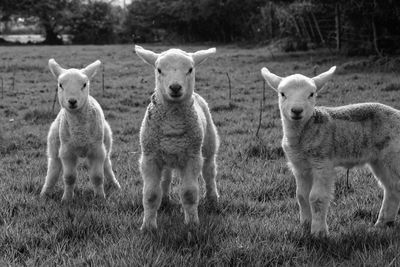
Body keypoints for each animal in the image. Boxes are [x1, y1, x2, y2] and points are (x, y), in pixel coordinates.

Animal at [40, 58, 122, 201]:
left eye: (84, 85)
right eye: (60, 85)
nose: (72, 101)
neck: (80, 132)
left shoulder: (96, 150)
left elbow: (97, 177)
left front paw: (100, 198)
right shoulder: (67, 151)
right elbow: (69, 177)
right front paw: (66, 199)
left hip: (106, 143)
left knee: (107, 165)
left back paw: (115, 184)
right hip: (55, 143)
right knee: (53, 168)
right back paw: (45, 192)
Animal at [136, 45, 220, 230]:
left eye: (190, 69)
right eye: (159, 70)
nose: (175, 87)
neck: (172, 122)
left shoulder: (192, 157)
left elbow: (189, 193)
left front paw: (192, 223)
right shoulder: (150, 157)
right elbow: (151, 195)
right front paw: (148, 226)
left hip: (208, 144)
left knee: (209, 172)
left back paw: (213, 199)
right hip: (165, 154)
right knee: (165, 178)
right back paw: (165, 199)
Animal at [260, 66, 400, 238]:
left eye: (311, 94)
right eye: (282, 94)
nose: (297, 110)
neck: (303, 135)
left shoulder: (322, 162)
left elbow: (316, 198)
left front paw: (318, 232)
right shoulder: (299, 166)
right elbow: (301, 195)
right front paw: (305, 225)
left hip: (393, 154)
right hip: (380, 159)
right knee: (392, 187)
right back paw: (383, 222)